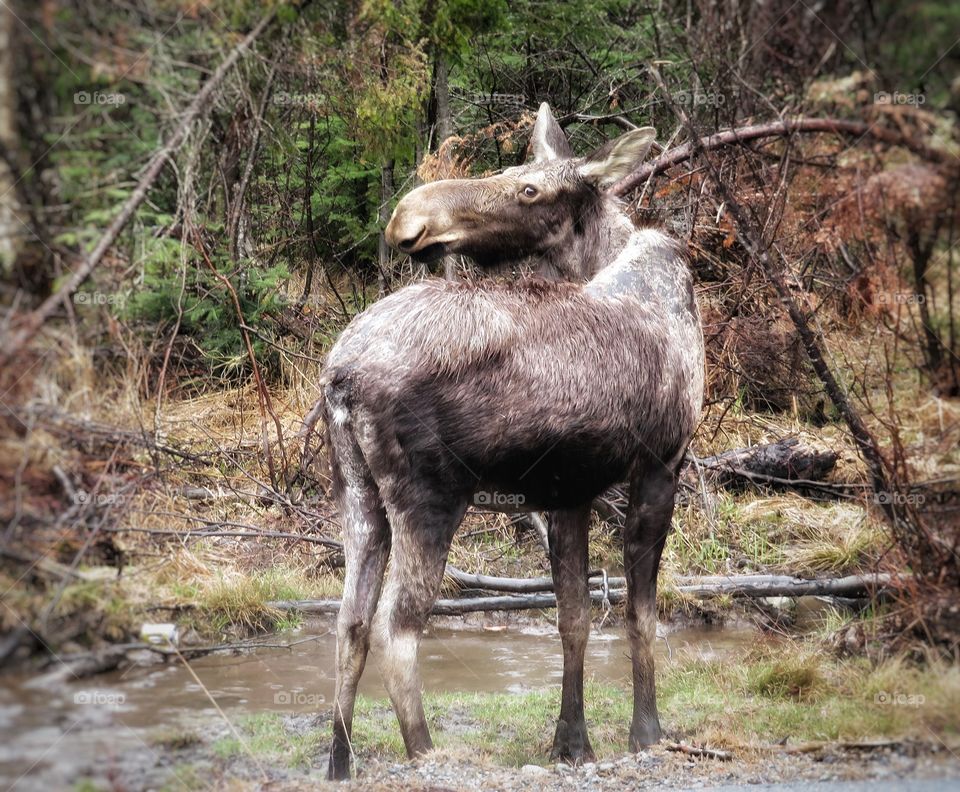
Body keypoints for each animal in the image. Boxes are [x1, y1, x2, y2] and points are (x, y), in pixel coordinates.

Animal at [316, 103, 704, 780]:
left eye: (529, 188)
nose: (408, 218)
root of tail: (340, 375)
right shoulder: (662, 460)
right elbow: (640, 615)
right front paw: (647, 731)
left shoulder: (570, 491)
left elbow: (575, 617)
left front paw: (572, 742)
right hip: (431, 496)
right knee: (399, 624)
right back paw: (424, 749)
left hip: (356, 491)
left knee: (351, 621)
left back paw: (341, 758)